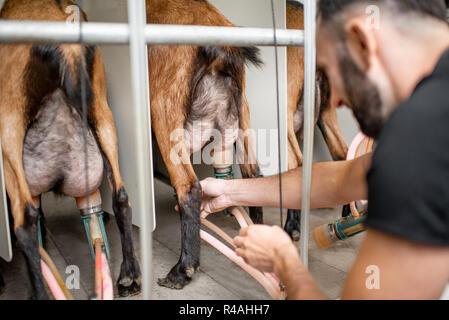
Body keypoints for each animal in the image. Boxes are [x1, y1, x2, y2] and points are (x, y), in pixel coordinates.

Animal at [0, 0, 140, 300]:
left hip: (9, 135)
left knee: (25, 221)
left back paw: (38, 293)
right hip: (103, 117)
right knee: (121, 198)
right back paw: (130, 275)